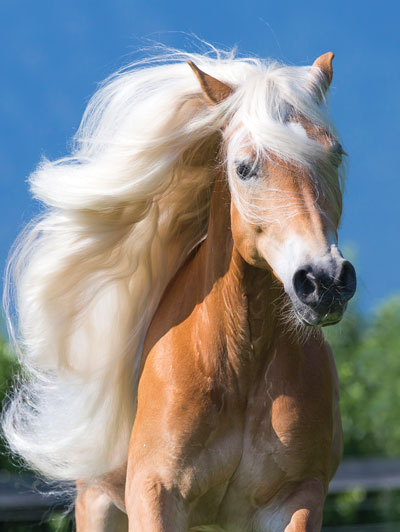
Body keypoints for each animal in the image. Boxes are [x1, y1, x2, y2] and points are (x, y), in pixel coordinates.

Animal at [1, 47, 354, 528]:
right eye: (243, 168)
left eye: (334, 156)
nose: (324, 280)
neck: (238, 362)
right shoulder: (155, 493)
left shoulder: (297, 498)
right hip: (97, 501)